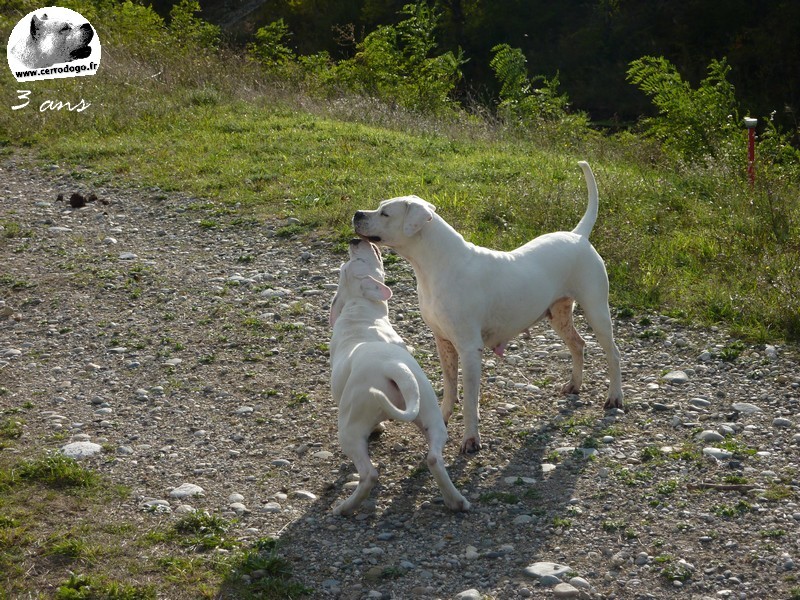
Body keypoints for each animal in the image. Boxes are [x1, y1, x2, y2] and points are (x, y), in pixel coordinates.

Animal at [330, 237, 472, 512]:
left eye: (355, 261)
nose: (354, 239)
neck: (358, 310)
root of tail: (393, 367)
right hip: (431, 414)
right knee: (434, 458)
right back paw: (456, 501)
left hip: (348, 431)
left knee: (369, 474)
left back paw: (345, 508)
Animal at [354, 162, 624, 452]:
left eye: (385, 213)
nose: (357, 213)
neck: (438, 264)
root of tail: (578, 235)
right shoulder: (443, 342)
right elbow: (450, 386)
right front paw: (443, 418)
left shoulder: (470, 349)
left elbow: (470, 401)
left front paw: (471, 439)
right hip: (559, 314)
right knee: (578, 344)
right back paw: (574, 384)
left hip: (597, 311)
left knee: (613, 354)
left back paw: (615, 397)